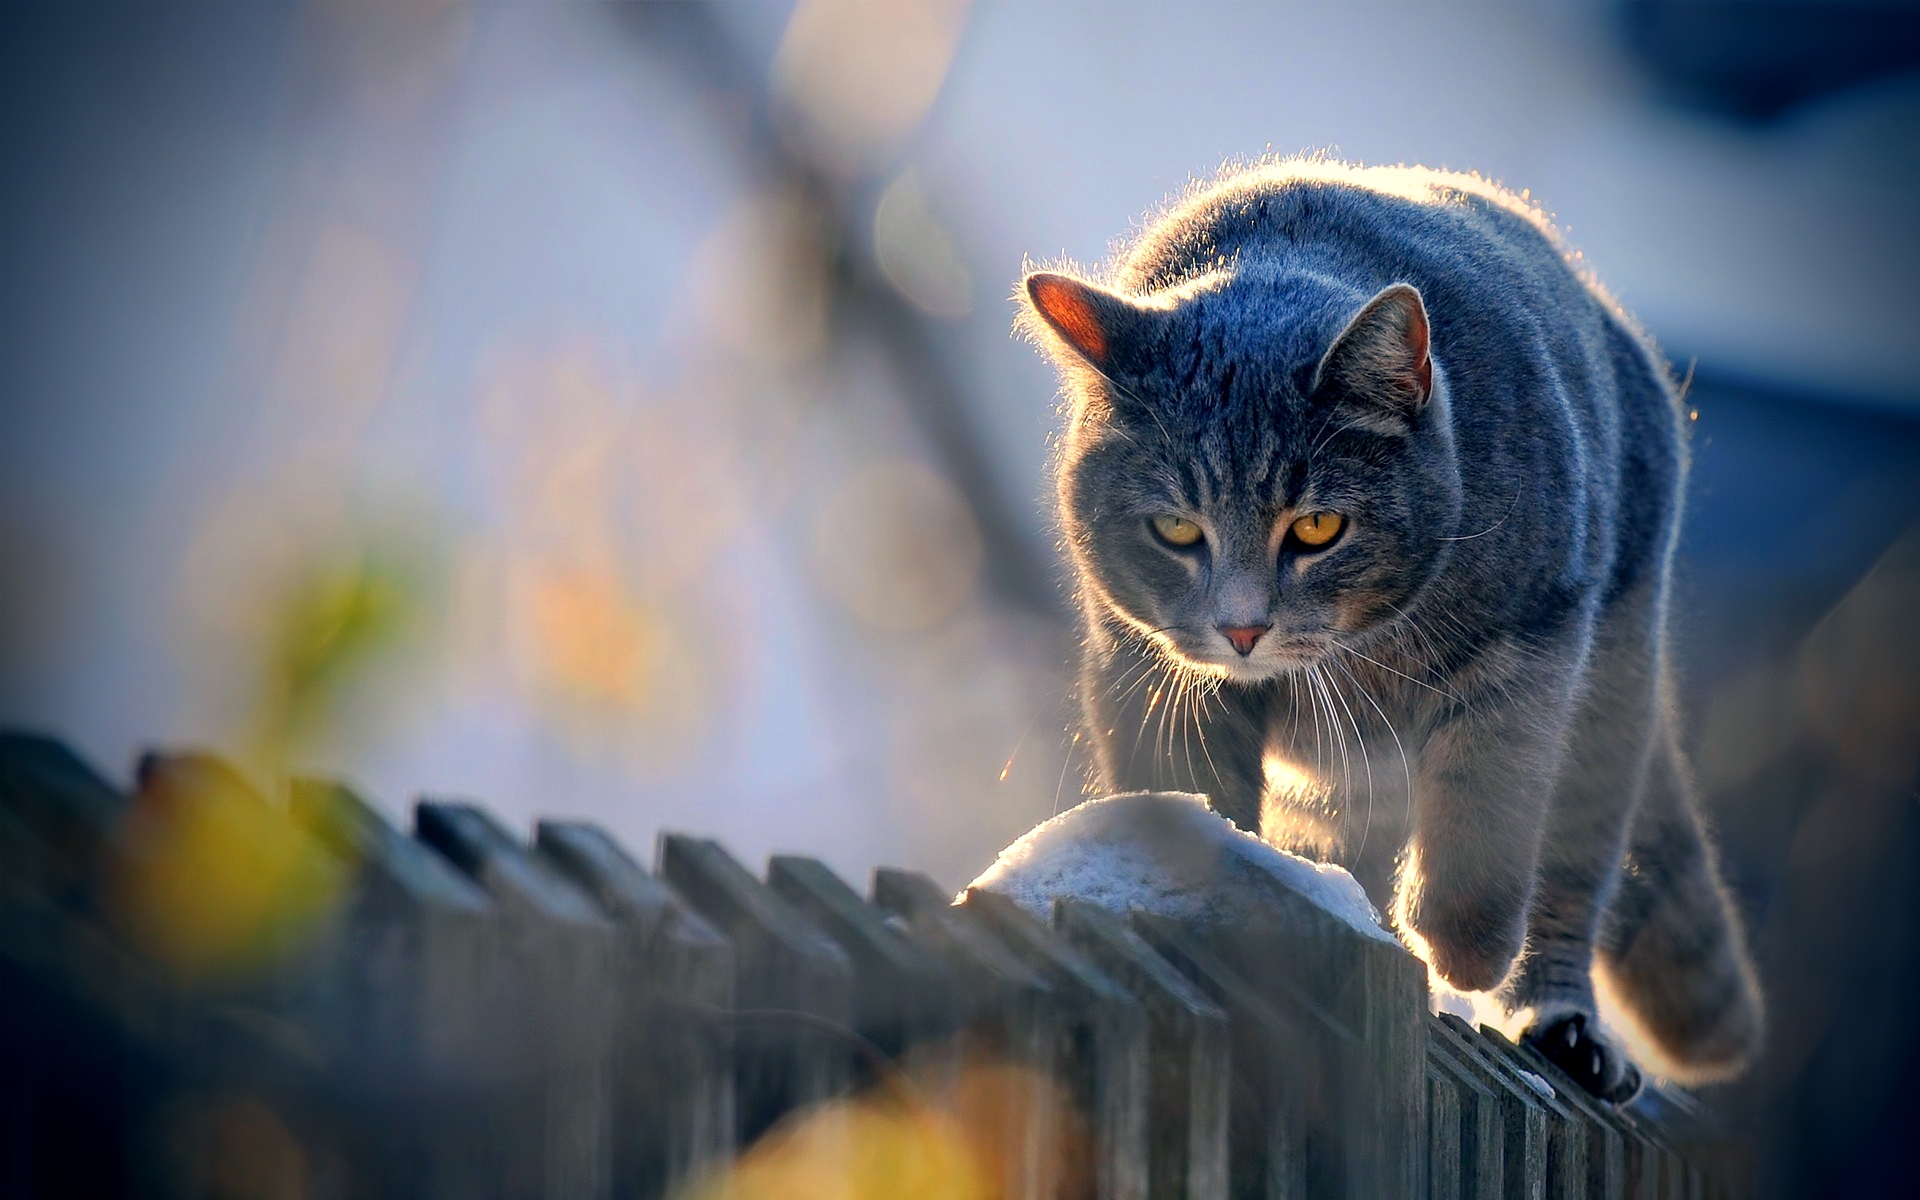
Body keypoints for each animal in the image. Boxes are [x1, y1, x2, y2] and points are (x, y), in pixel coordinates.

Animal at [1029, 161, 1758, 1105]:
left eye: (1317, 527)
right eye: (1177, 530)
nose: (1241, 627)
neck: (1361, 656)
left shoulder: (1531, 649)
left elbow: (1486, 819)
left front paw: (1461, 949)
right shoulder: (1149, 675)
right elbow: (1193, 796)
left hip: (1612, 692)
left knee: (1570, 873)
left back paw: (1560, 1026)